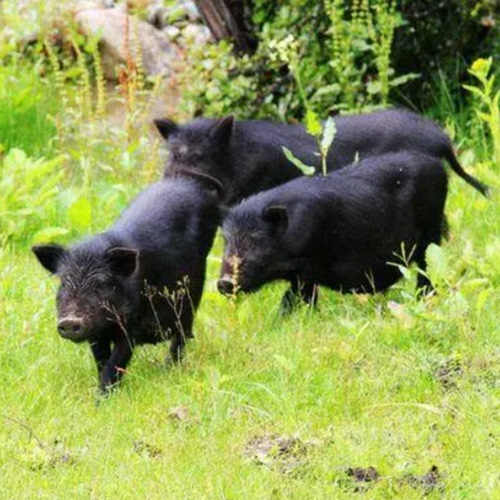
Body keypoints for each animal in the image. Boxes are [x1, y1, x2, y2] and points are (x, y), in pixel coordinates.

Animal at [30, 178, 219, 392]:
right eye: (63, 282)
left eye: (101, 283)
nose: (69, 321)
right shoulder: (96, 332)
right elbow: (101, 360)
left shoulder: (131, 326)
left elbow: (116, 361)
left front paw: (102, 396)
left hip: (191, 295)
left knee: (182, 335)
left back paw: (169, 369)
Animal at [219, 152, 450, 312]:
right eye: (226, 241)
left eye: (257, 240)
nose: (223, 282)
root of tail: (438, 165)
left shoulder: (308, 267)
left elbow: (293, 299)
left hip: (431, 233)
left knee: (427, 270)